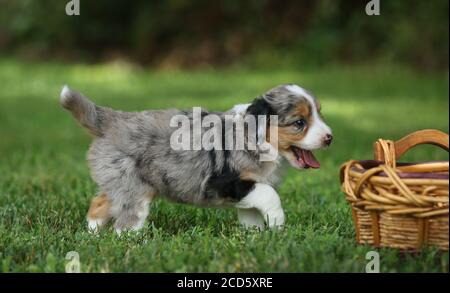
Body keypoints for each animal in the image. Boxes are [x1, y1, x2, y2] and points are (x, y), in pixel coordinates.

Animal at [59, 83, 332, 232]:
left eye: (319, 114)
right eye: (299, 122)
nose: (329, 137)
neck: (256, 134)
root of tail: (112, 120)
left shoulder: (247, 187)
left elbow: (251, 213)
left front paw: (254, 236)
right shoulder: (227, 181)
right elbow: (270, 196)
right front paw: (278, 224)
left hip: (118, 180)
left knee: (99, 205)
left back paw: (91, 237)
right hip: (135, 189)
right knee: (125, 223)